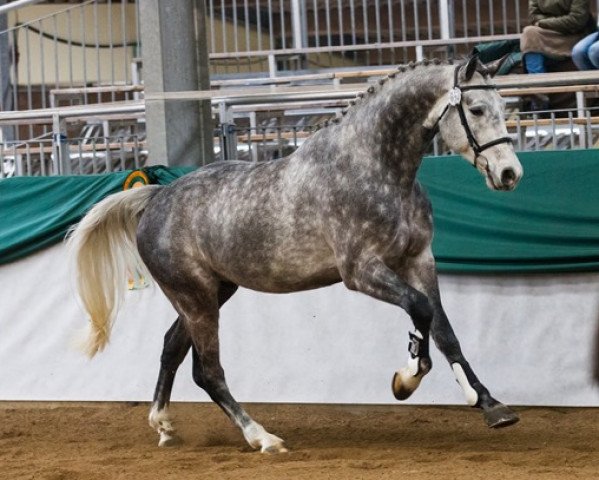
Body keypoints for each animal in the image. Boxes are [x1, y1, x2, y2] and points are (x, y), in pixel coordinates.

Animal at [68, 56, 524, 454]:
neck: (376, 168)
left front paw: (490, 405)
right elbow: (420, 310)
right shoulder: (361, 271)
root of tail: (156, 197)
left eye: (504, 107)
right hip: (195, 298)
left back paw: (164, 427)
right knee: (207, 371)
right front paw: (405, 378)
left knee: (170, 348)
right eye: (477, 108)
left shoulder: (418, 260)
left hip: (211, 293)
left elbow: (444, 329)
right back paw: (263, 438)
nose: (510, 174)